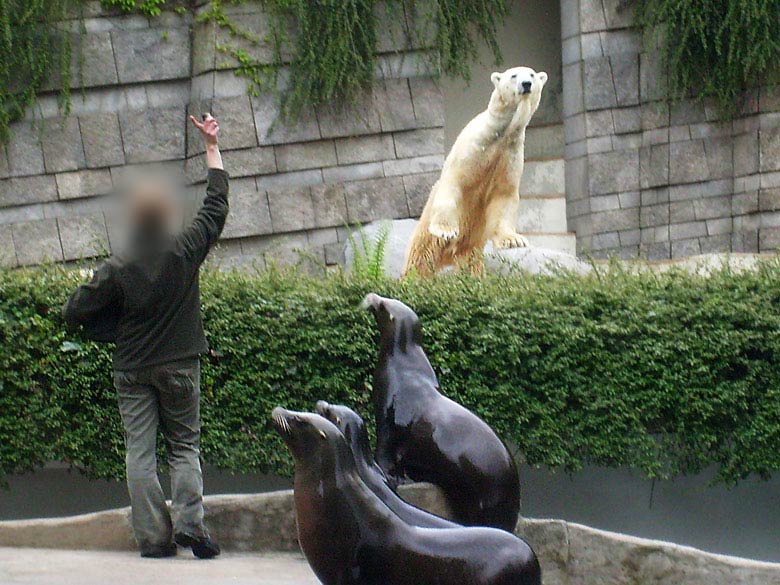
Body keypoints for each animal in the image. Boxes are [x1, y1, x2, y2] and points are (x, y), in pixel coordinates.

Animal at [402, 66, 548, 276]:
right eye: (513, 75)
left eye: (532, 75)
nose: (526, 84)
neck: (501, 133)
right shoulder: (475, 145)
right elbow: (455, 181)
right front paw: (446, 230)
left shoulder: (511, 153)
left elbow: (504, 194)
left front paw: (513, 240)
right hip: (425, 231)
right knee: (421, 258)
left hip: (471, 245)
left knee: (470, 262)